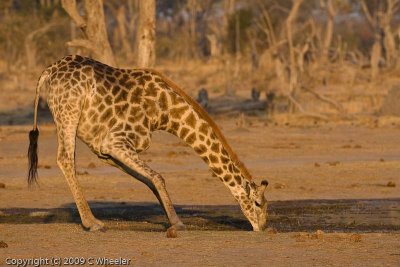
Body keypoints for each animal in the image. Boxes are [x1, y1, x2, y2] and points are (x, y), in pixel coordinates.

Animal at [28, 55, 268, 232]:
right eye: (258, 203)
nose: (263, 227)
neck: (165, 113)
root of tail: (48, 71)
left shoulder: (105, 151)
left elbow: (150, 180)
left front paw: (171, 219)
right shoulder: (115, 142)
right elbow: (158, 177)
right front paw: (178, 223)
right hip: (68, 112)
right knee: (65, 158)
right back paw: (93, 223)